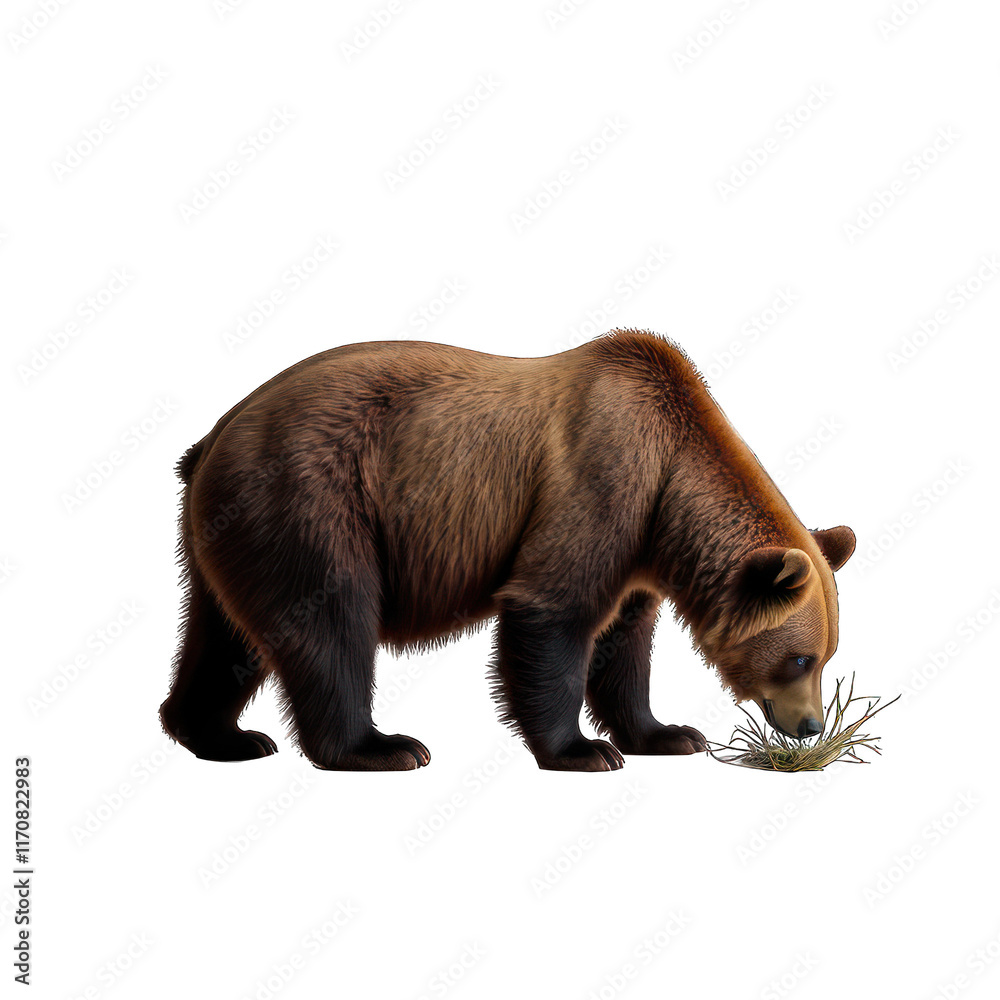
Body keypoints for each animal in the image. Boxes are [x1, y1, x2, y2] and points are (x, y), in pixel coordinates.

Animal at [159, 329, 856, 771]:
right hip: (312, 497)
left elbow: (626, 644)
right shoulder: (600, 479)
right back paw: (381, 747)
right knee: (332, 620)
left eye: (826, 656)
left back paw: (221, 735)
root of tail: (211, 437)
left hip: (231, 531)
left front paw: (668, 733)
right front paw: (583, 751)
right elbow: (553, 612)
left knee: (224, 637)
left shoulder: (640, 549)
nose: (811, 726)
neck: (671, 480)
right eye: (799, 659)